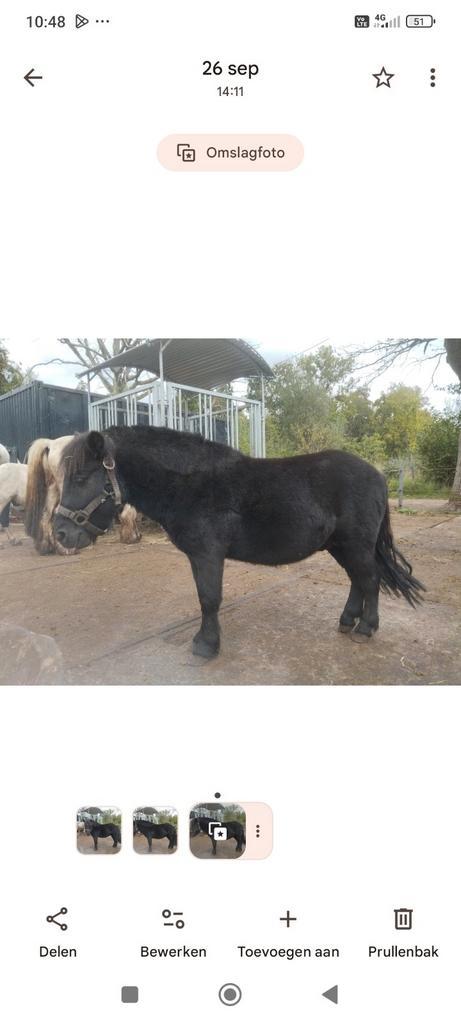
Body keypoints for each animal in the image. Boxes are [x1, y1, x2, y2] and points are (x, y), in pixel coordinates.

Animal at [52, 425, 425, 658]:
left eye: (82, 477)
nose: (60, 534)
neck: (189, 484)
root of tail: (378, 475)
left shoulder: (208, 555)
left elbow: (209, 599)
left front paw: (207, 645)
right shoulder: (198, 557)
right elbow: (205, 598)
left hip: (356, 545)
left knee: (370, 580)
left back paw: (366, 627)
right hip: (340, 546)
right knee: (357, 581)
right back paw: (348, 621)